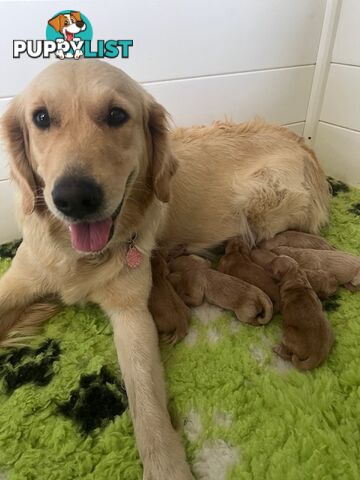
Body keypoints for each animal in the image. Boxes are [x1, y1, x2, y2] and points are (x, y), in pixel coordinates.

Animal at [0, 61, 330, 480]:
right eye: (41, 118)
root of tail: (303, 142)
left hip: (261, 203)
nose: (74, 197)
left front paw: (166, 467)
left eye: (116, 115)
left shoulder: (133, 313)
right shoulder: (17, 282)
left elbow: (147, 402)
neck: (78, 255)